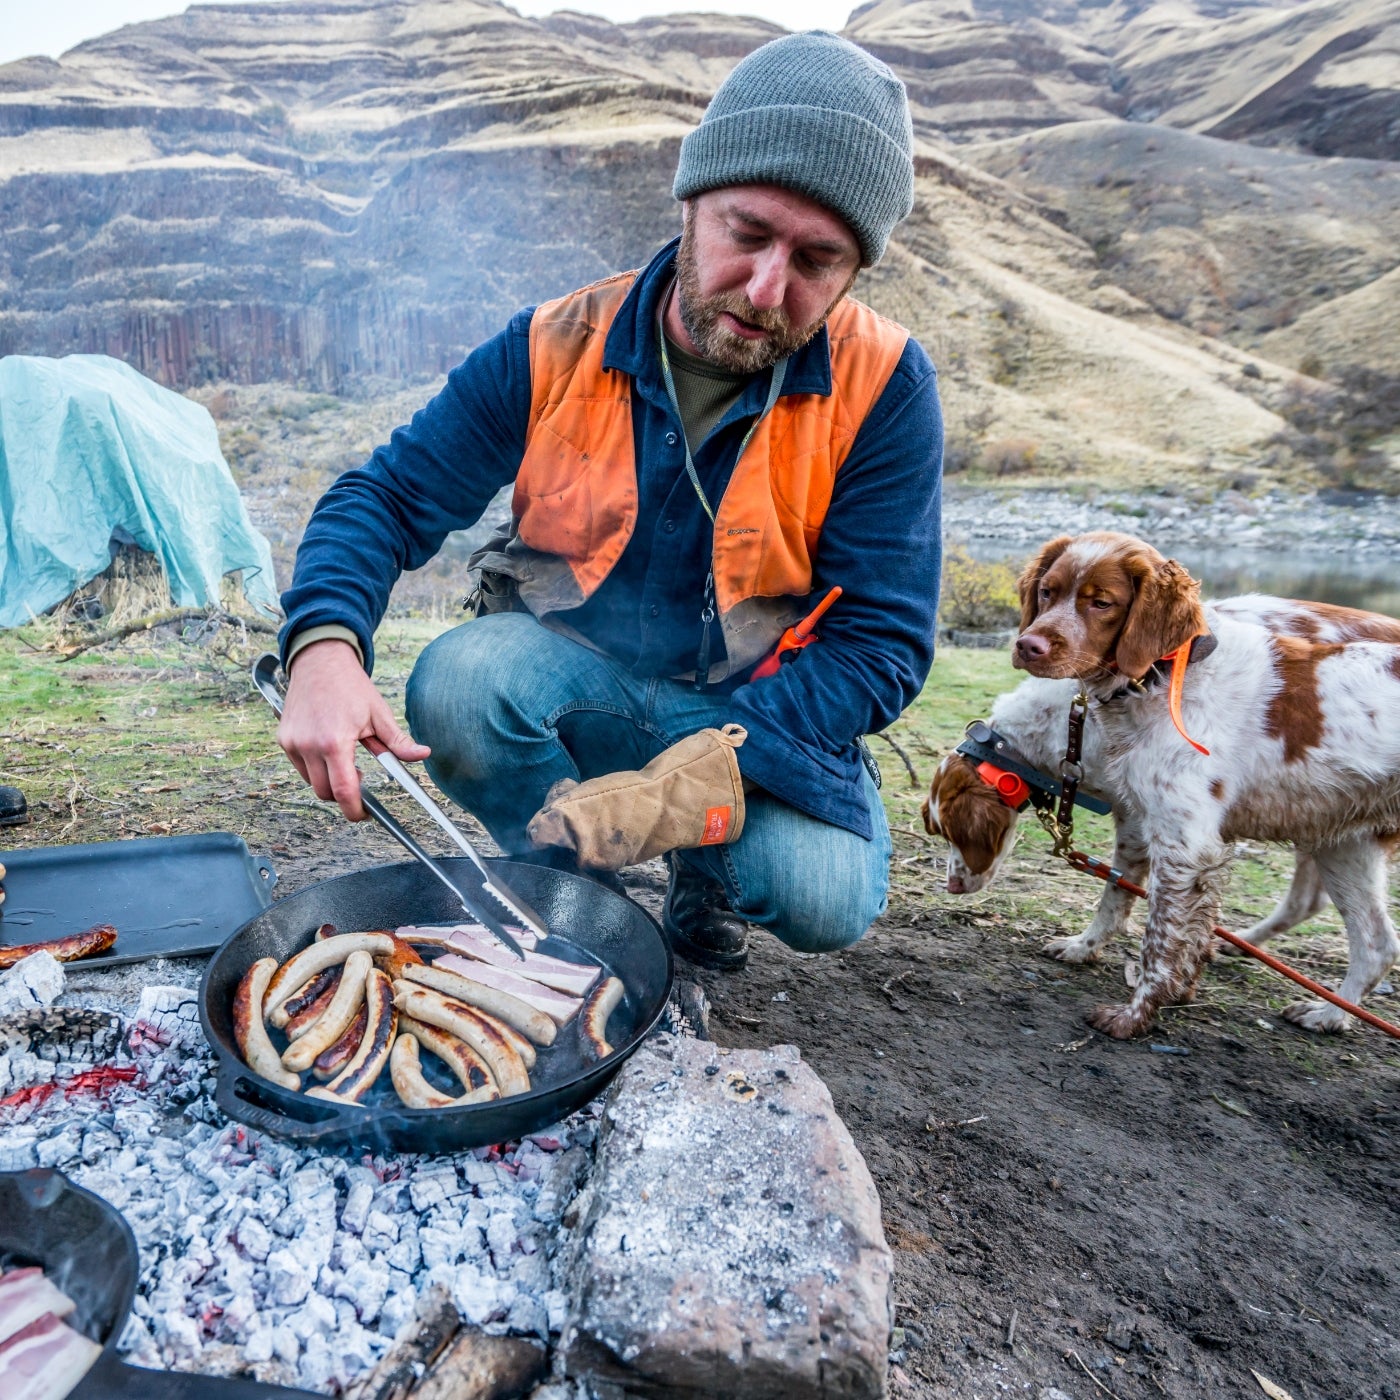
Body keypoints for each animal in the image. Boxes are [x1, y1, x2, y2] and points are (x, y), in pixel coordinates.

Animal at [929, 534, 1400, 1041]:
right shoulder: (1138, 820)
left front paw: (1134, 1016)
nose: (1027, 645)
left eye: (1101, 602)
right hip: (1343, 842)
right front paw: (1087, 948)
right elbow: (1121, 897)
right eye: (1046, 592)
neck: (1159, 678)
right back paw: (1326, 1013)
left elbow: (1159, 939)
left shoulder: (1185, 844)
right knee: (1376, 943)